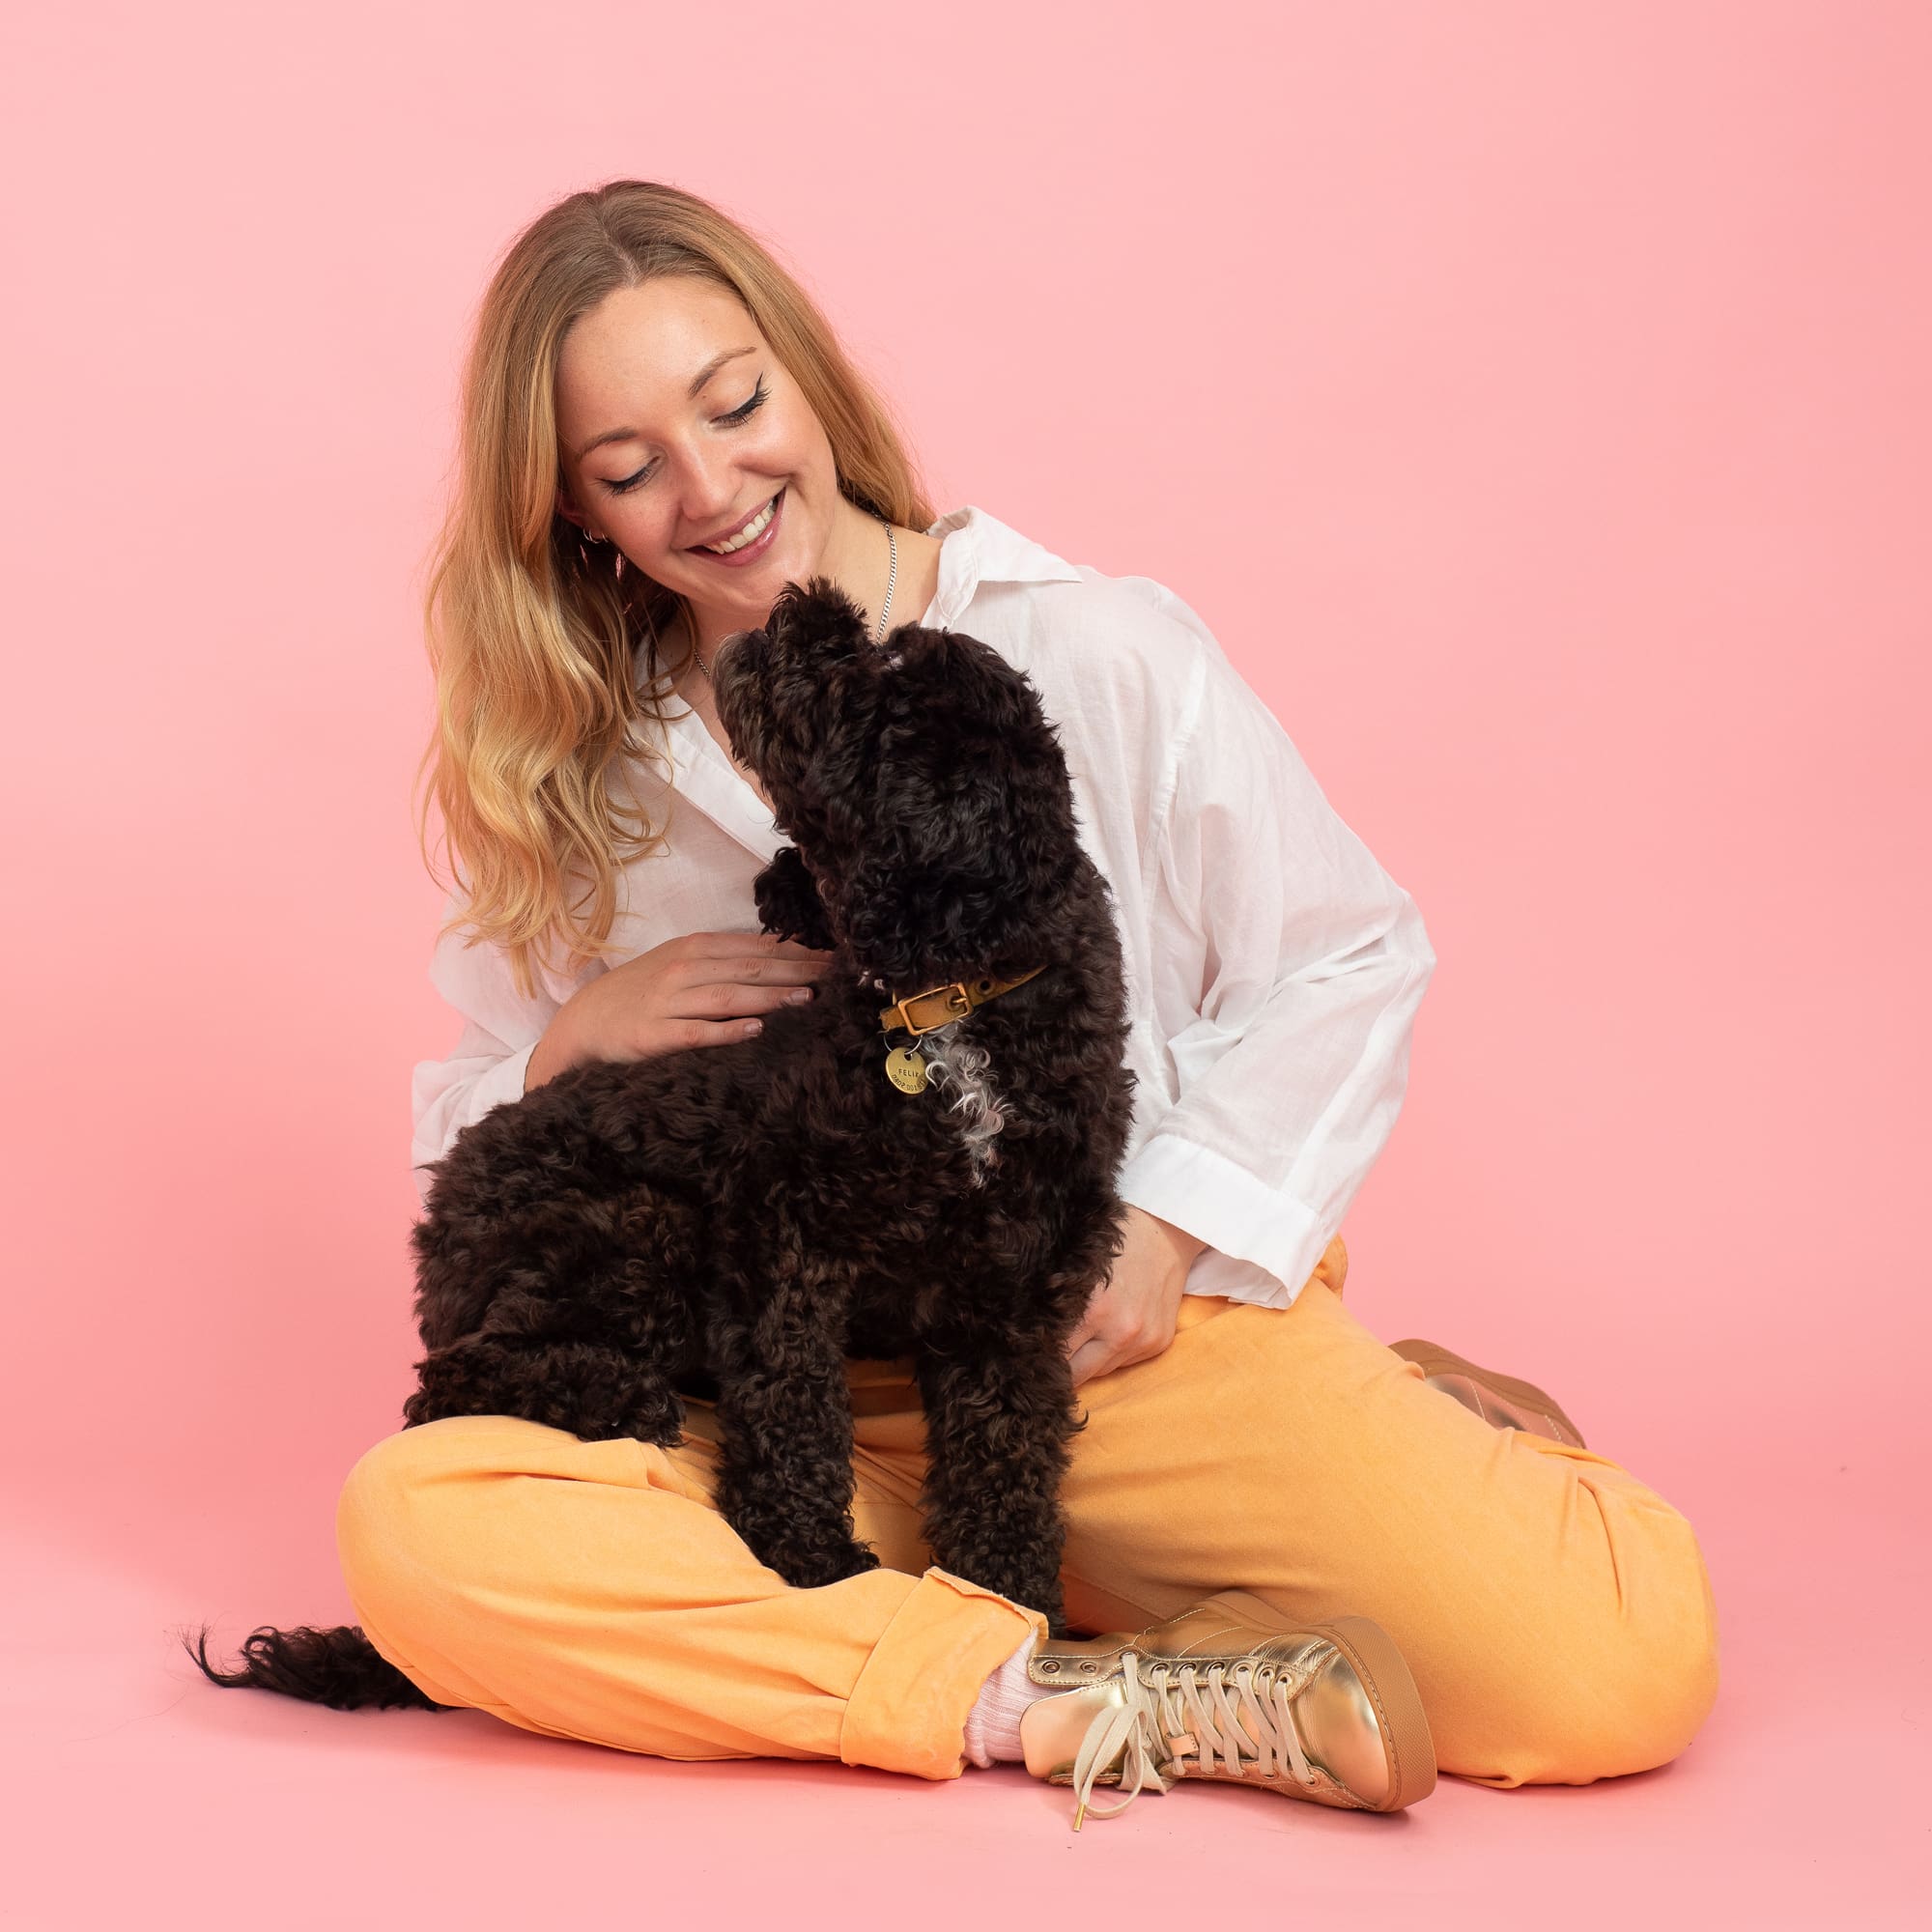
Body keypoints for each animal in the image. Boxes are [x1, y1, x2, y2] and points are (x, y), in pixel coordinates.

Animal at [185, 580, 1128, 1716]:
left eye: (877, 684)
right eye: (876, 656)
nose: (806, 603)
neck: (958, 1006)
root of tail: (438, 1226)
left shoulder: (1010, 1303)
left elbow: (1007, 1466)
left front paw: (1012, 1608)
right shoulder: (782, 1247)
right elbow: (792, 1415)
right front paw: (812, 1562)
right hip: (639, 1227)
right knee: (446, 1382)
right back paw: (619, 1396)